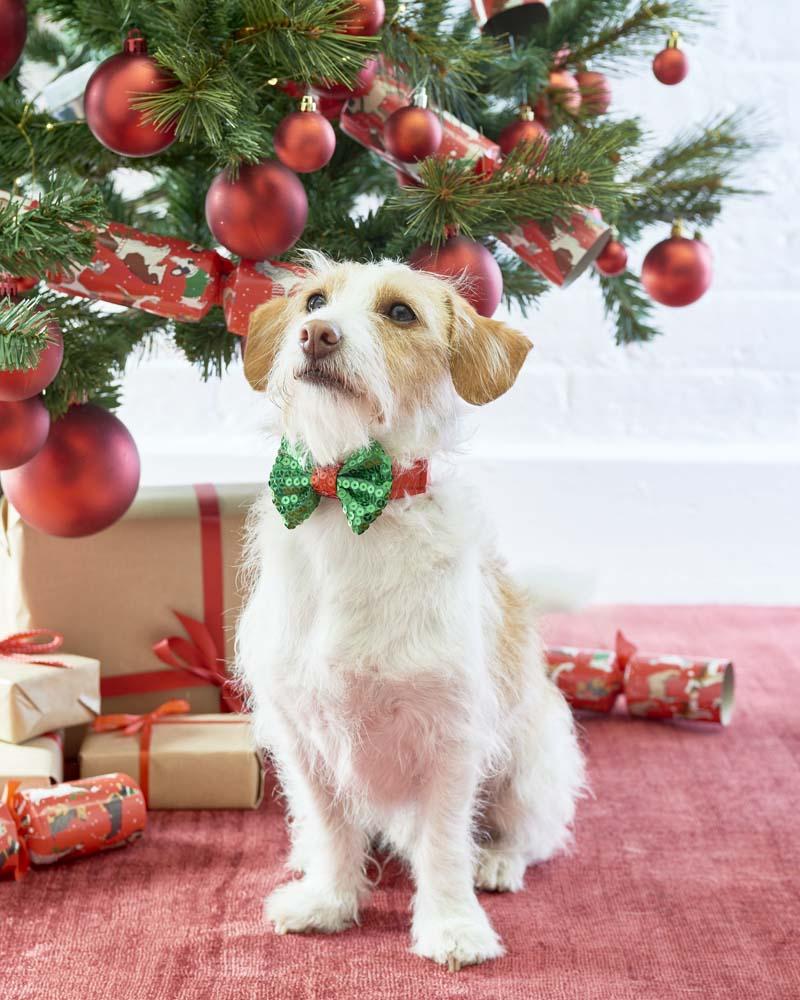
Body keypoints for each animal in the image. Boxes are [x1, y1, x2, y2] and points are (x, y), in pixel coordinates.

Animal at [234, 254, 584, 972]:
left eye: (400, 313)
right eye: (315, 301)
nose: (315, 335)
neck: (353, 512)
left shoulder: (450, 739)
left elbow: (445, 844)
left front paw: (452, 928)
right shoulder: (301, 737)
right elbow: (332, 825)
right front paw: (329, 901)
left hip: (532, 763)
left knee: (529, 833)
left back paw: (498, 861)